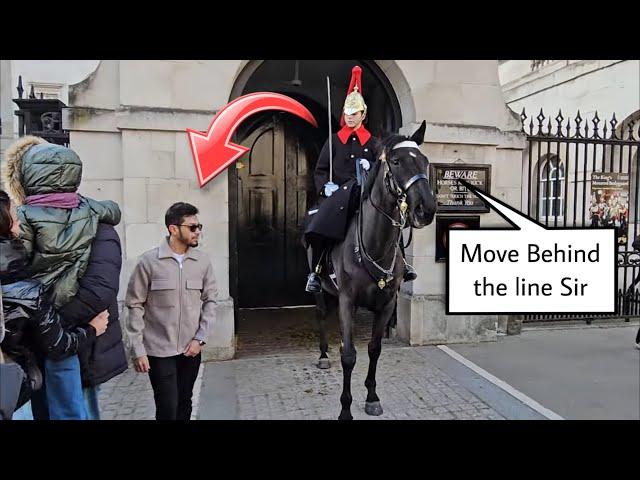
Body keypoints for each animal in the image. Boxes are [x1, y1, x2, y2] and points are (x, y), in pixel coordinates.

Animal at [314, 121, 438, 420]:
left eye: (424, 161)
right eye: (396, 161)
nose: (426, 209)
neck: (374, 242)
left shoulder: (386, 304)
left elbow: (374, 349)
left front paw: (371, 396)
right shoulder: (348, 301)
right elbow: (348, 355)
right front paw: (345, 408)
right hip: (321, 290)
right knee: (321, 315)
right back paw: (323, 355)